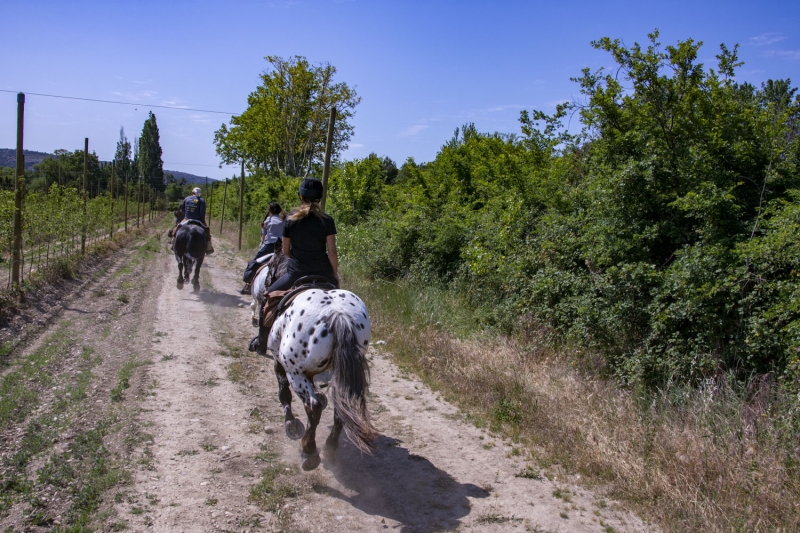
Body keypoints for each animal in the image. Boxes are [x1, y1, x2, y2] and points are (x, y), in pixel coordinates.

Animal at [266, 286, 376, 470]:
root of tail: (338, 316)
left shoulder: (279, 363)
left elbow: (284, 394)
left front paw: (291, 424)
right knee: (341, 407)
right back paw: (330, 448)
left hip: (295, 374)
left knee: (313, 407)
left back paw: (309, 452)